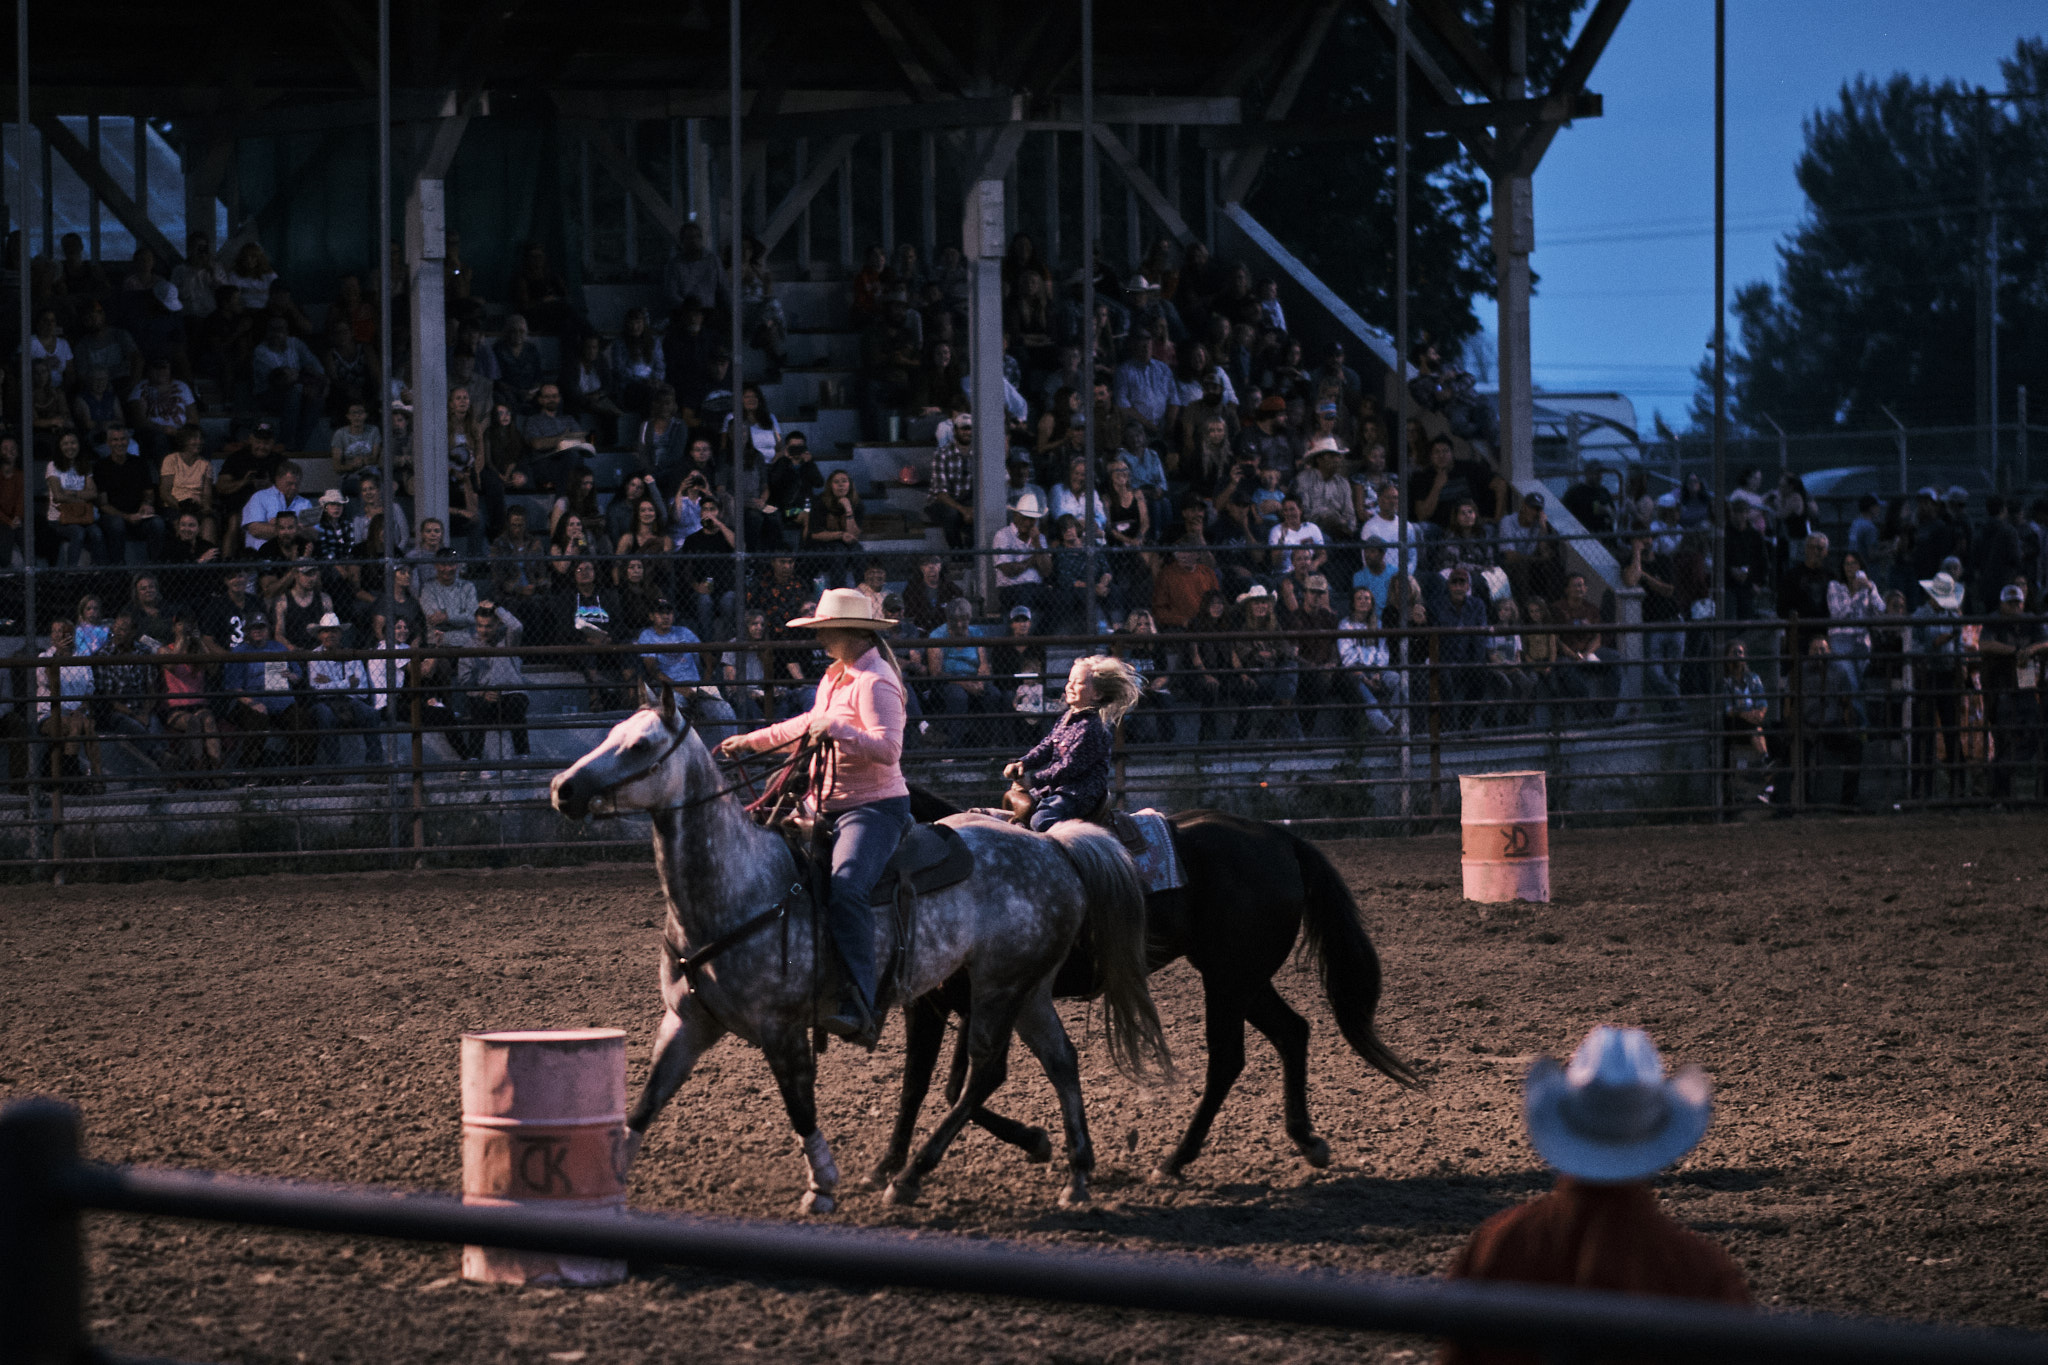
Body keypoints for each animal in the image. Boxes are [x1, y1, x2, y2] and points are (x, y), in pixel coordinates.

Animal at [552, 687, 1171, 1211]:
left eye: (640, 744)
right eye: (611, 732)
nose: (563, 788)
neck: (742, 886)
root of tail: (1052, 846)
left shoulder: (781, 1027)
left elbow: (801, 1106)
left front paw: (822, 1185)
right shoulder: (686, 1023)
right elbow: (645, 1103)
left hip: (999, 987)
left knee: (985, 1073)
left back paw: (912, 1176)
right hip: (1029, 988)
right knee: (1059, 1060)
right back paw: (1077, 1174)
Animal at [872, 794, 1417, 1186]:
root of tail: (1280, 838)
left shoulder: (971, 1001)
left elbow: (945, 1084)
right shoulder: (955, 1004)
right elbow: (933, 1085)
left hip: (1228, 980)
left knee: (1228, 1059)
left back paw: (1175, 1160)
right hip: (1244, 979)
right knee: (1292, 1031)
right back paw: (1305, 1139)